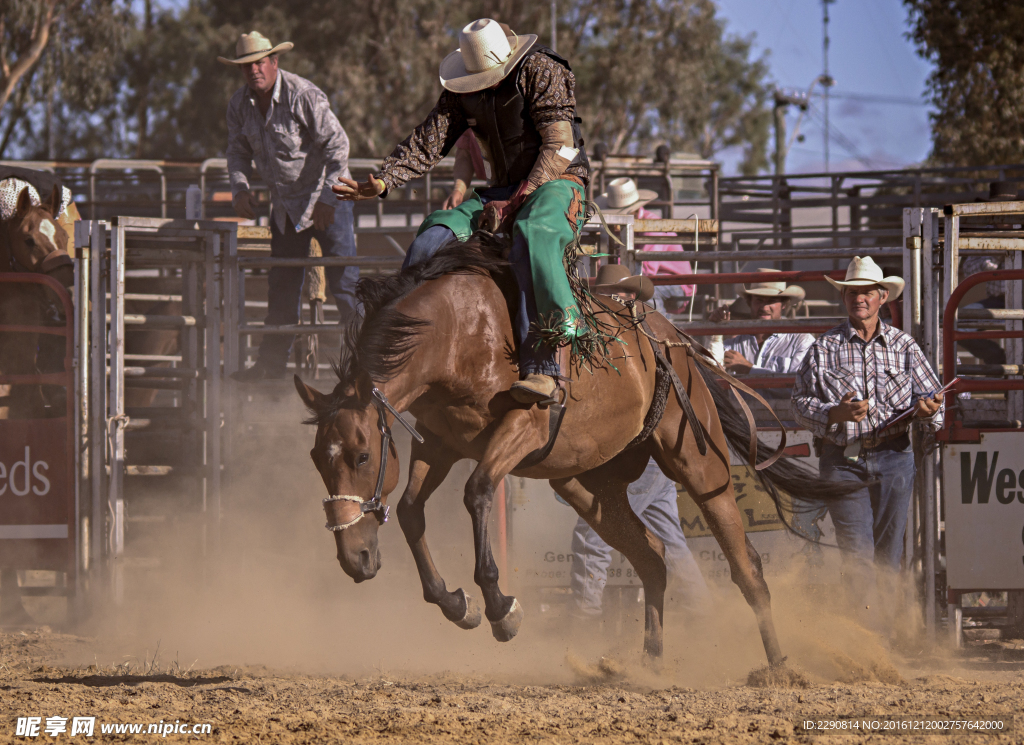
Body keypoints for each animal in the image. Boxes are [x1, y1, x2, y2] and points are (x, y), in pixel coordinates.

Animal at [294, 242, 847, 663]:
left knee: (745, 564)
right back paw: (647, 663)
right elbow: (410, 509)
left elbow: (477, 493)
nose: (355, 558)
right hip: (589, 484)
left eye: (362, 458)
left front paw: (501, 608)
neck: (457, 334)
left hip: (699, 460)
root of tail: (675, 342)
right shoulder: (441, 442)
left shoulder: (522, 427)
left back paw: (778, 665)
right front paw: (456, 603)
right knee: (652, 557)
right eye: (318, 460)